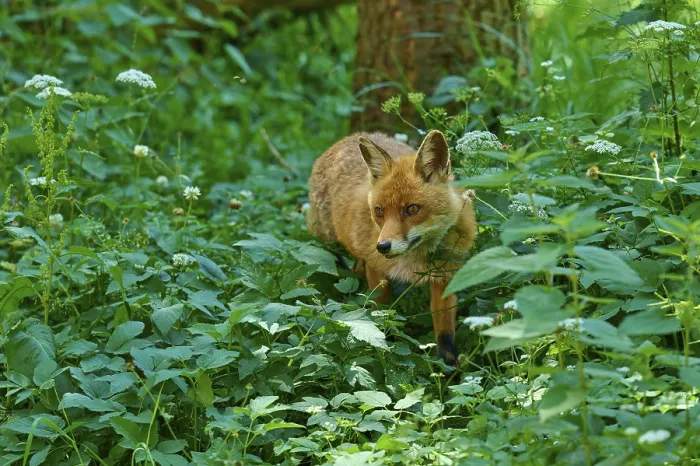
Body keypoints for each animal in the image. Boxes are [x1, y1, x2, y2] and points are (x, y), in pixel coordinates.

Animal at [307, 130, 477, 366]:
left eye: (412, 209)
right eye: (379, 211)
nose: (383, 246)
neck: (413, 260)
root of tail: (349, 137)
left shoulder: (445, 276)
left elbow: (445, 333)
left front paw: (448, 368)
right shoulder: (376, 269)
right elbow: (381, 317)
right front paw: (385, 353)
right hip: (330, 243)